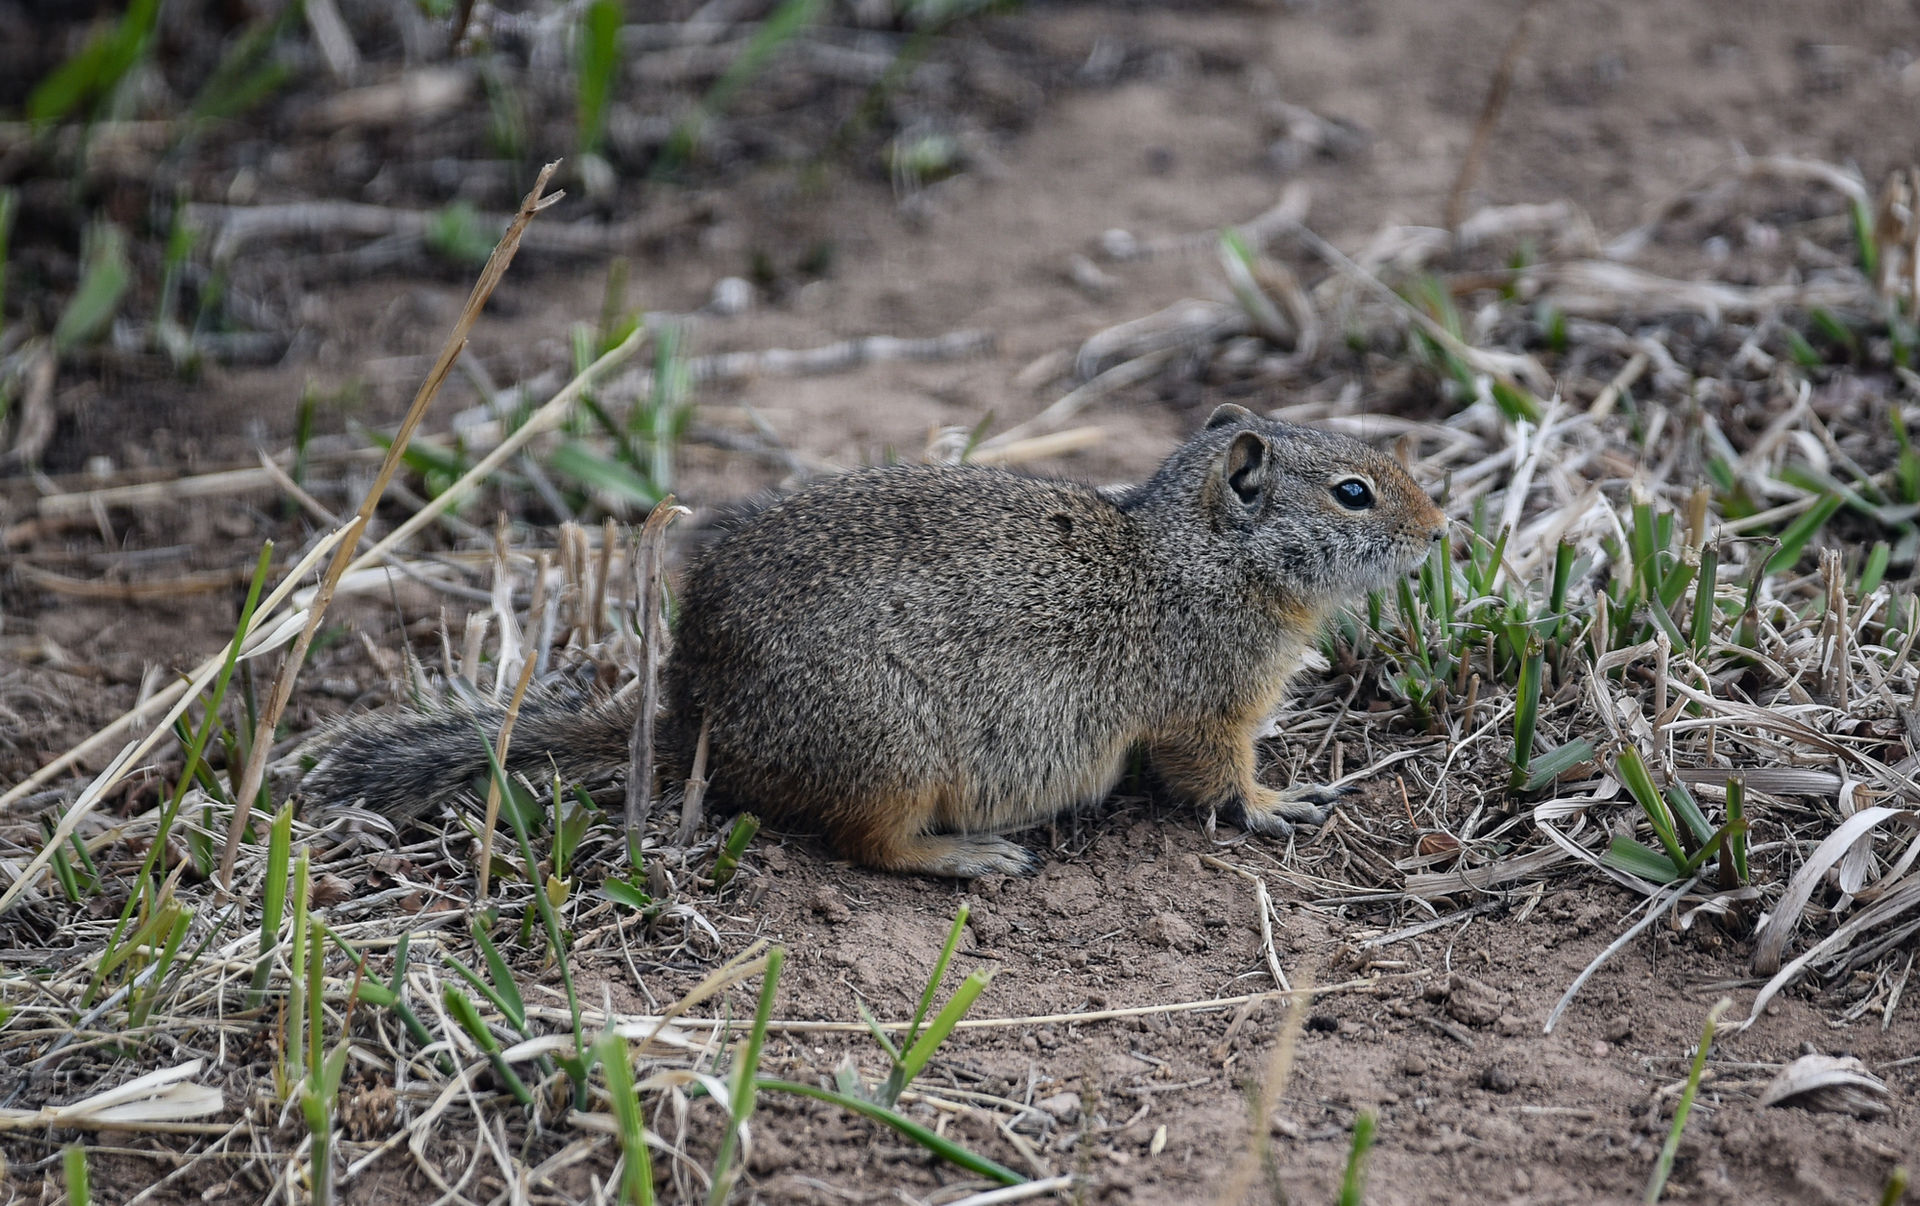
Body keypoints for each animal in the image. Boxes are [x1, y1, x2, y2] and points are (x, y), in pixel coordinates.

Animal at [302, 404, 1447, 878]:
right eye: (1354, 493)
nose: (1443, 532)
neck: (1198, 551)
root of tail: (695, 717)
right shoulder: (1210, 707)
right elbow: (1215, 779)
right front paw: (1279, 803)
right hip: (894, 752)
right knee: (869, 846)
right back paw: (972, 858)